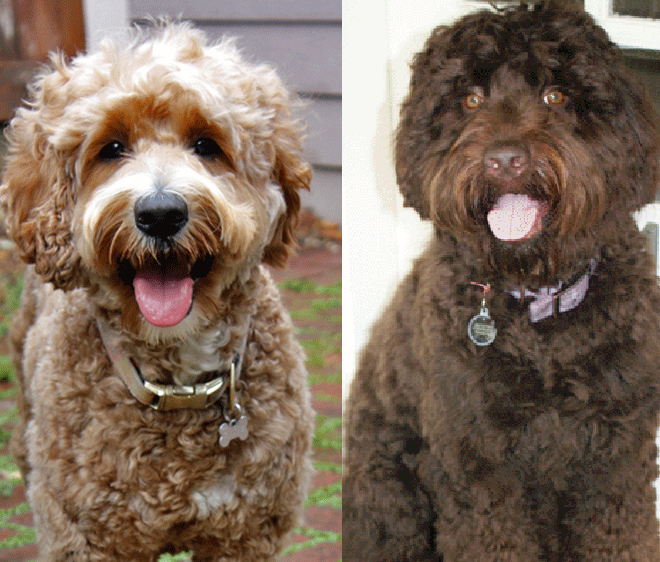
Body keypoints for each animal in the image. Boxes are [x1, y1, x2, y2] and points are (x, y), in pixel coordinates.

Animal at [0, 21, 314, 560]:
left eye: (207, 145)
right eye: (111, 148)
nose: (161, 212)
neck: (177, 380)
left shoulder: (247, 534)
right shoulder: (85, 536)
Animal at [342, 2, 660, 556]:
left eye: (556, 95)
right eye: (470, 99)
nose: (505, 160)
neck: (538, 304)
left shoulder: (617, 464)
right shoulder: (479, 470)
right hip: (389, 494)